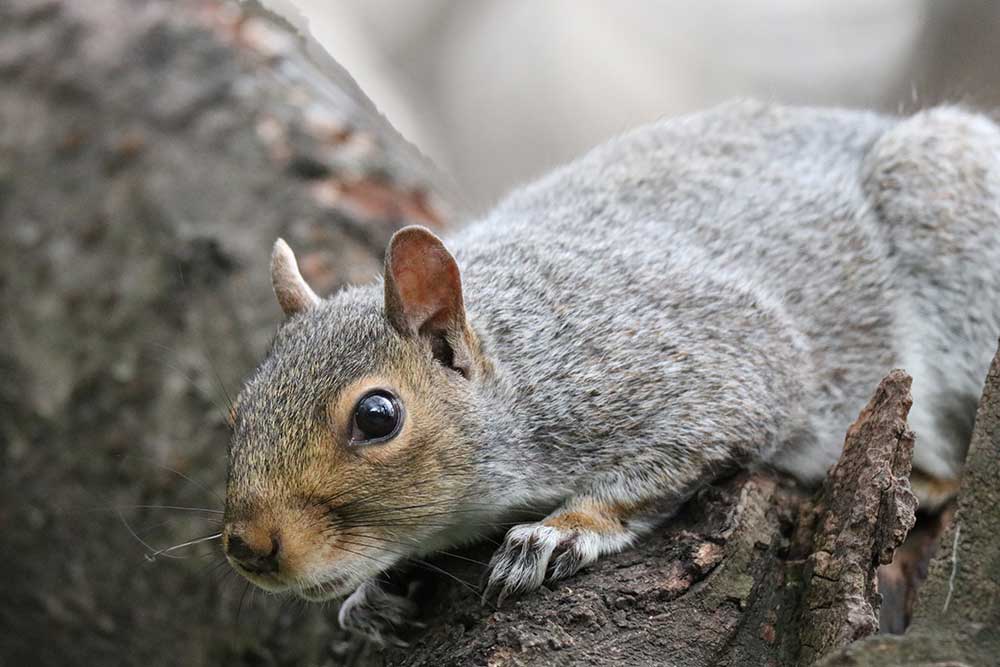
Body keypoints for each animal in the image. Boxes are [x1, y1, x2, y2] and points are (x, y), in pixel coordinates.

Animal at [222, 101, 1000, 644]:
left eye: (377, 415)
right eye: (236, 414)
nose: (248, 547)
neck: (522, 359)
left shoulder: (707, 368)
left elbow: (681, 456)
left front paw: (564, 530)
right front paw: (373, 595)